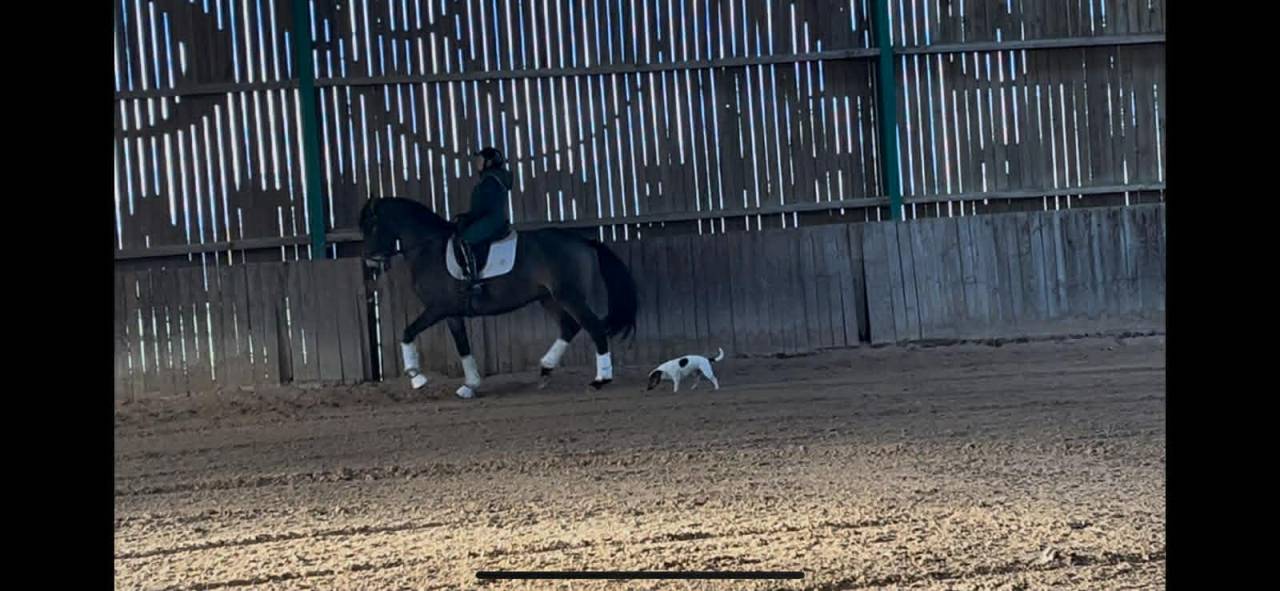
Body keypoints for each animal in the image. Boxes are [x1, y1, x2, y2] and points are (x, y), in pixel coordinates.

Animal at [358, 197, 638, 398]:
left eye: (372, 225)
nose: (370, 261)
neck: (429, 248)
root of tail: (583, 241)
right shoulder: (451, 313)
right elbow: (463, 346)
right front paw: (470, 386)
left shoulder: (438, 308)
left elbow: (407, 333)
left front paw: (417, 378)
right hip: (549, 298)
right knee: (570, 326)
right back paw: (546, 369)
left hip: (569, 296)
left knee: (594, 328)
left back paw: (600, 380)